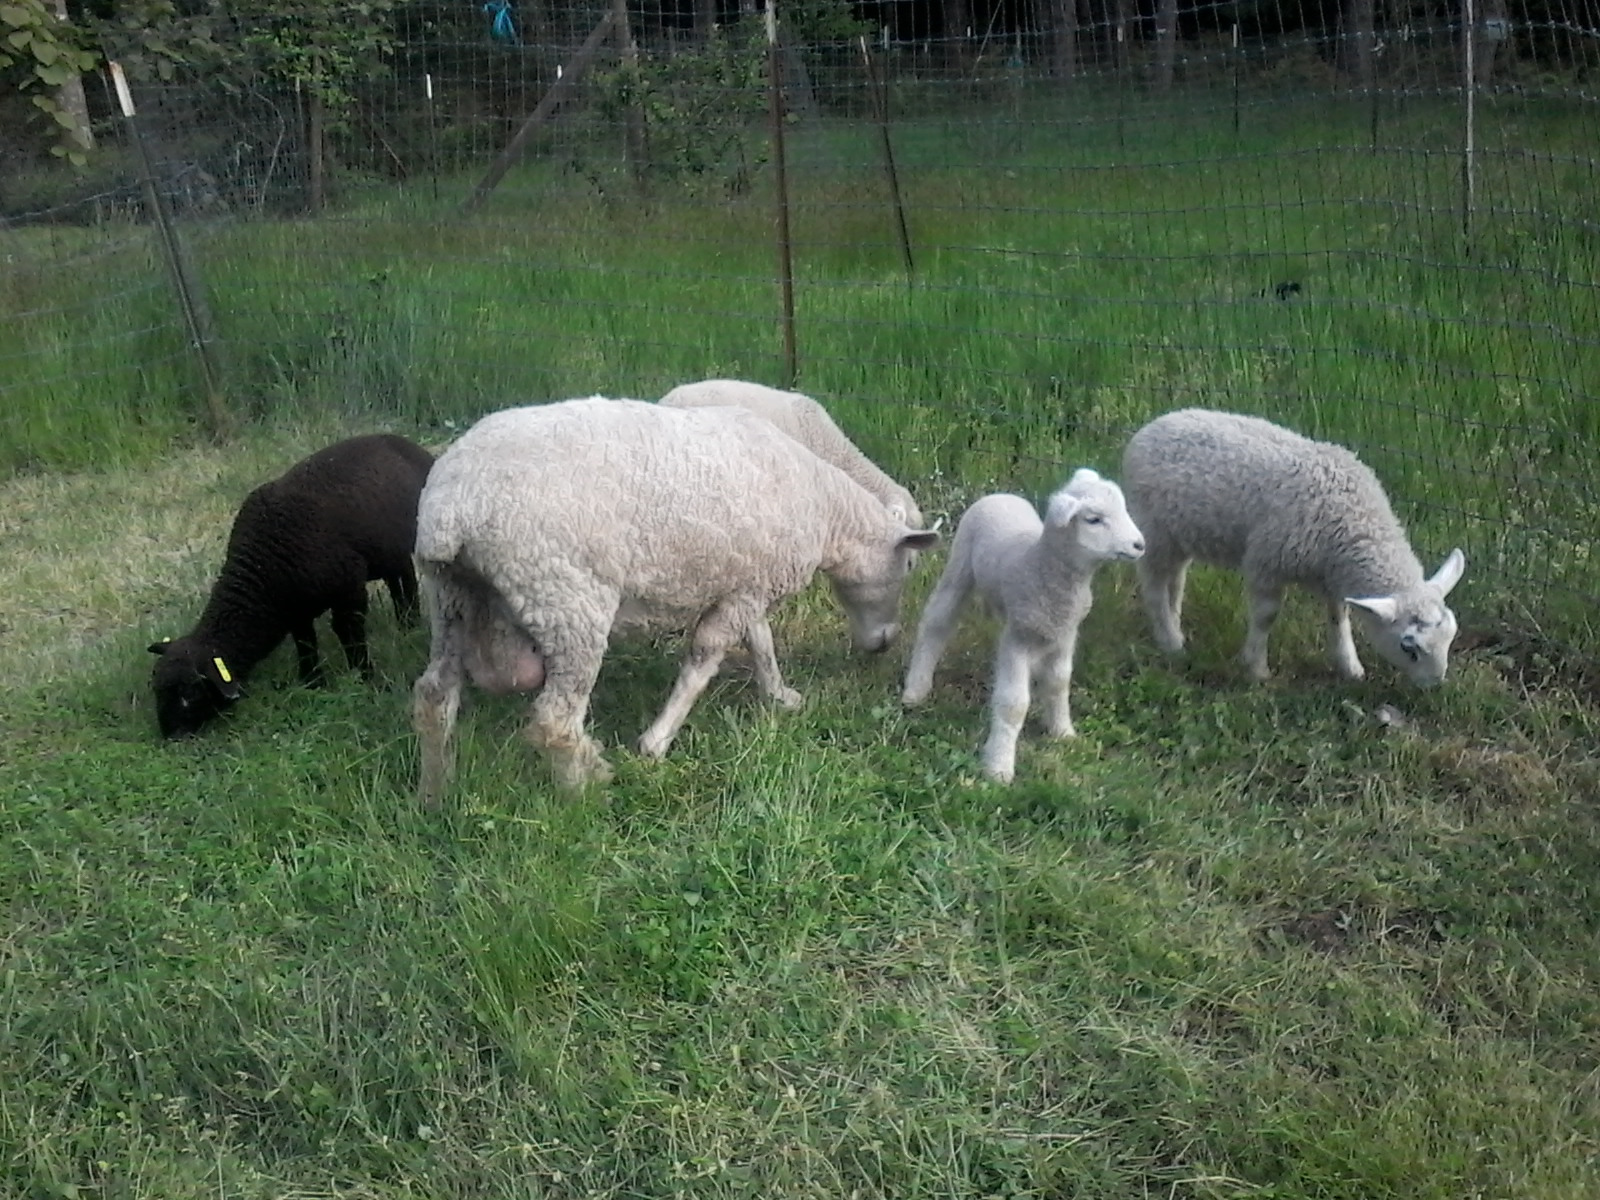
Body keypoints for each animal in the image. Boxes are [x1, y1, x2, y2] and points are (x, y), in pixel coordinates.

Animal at [148, 433, 435, 738]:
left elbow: (350, 633)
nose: (171, 736)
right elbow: (305, 642)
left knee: (406, 581)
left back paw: (409, 624)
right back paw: (406, 623)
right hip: (388, 551)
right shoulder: (295, 608)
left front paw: (363, 676)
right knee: (399, 579)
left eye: (190, 693)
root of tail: (403, 441)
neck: (265, 571)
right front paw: (311, 681)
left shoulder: (348, 588)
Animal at [411, 396, 939, 803]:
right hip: (565, 599)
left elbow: (761, 642)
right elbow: (704, 659)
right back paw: (587, 789)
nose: (884, 644)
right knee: (554, 723)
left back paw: (436, 792)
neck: (826, 512)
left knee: (434, 696)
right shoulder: (749, 588)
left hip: (450, 600)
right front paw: (655, 742)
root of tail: (452, 510)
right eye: (910, 566)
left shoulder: (746, 584)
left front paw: (779, 696)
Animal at [900, 469, 1146, 784]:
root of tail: (1000, 494)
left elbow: (1058, 682)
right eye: (1093, 519)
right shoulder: (1018, 640)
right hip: (960, 562)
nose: (1140, 545)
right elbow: (1013, 704)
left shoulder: (1065, 636)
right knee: (937, 621)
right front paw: (999, 767)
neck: (1041, 566)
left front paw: (1063, 732)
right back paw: (916, 689)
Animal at [1119, 408, 1467, 686]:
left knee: (1174, 583)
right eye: (1410, 647)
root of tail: (1152, 426)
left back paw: (1175, 630)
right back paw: (1170, 644)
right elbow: (1266, 617)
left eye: (1451, 636)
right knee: (1153, 588)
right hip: (1153, 532)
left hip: (1179, 536)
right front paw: (1256, 669)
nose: (1435, 685)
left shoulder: (1331, 575)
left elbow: (1338, 617)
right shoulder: (1266, 562)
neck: (1356, 524)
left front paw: (1349, 666)